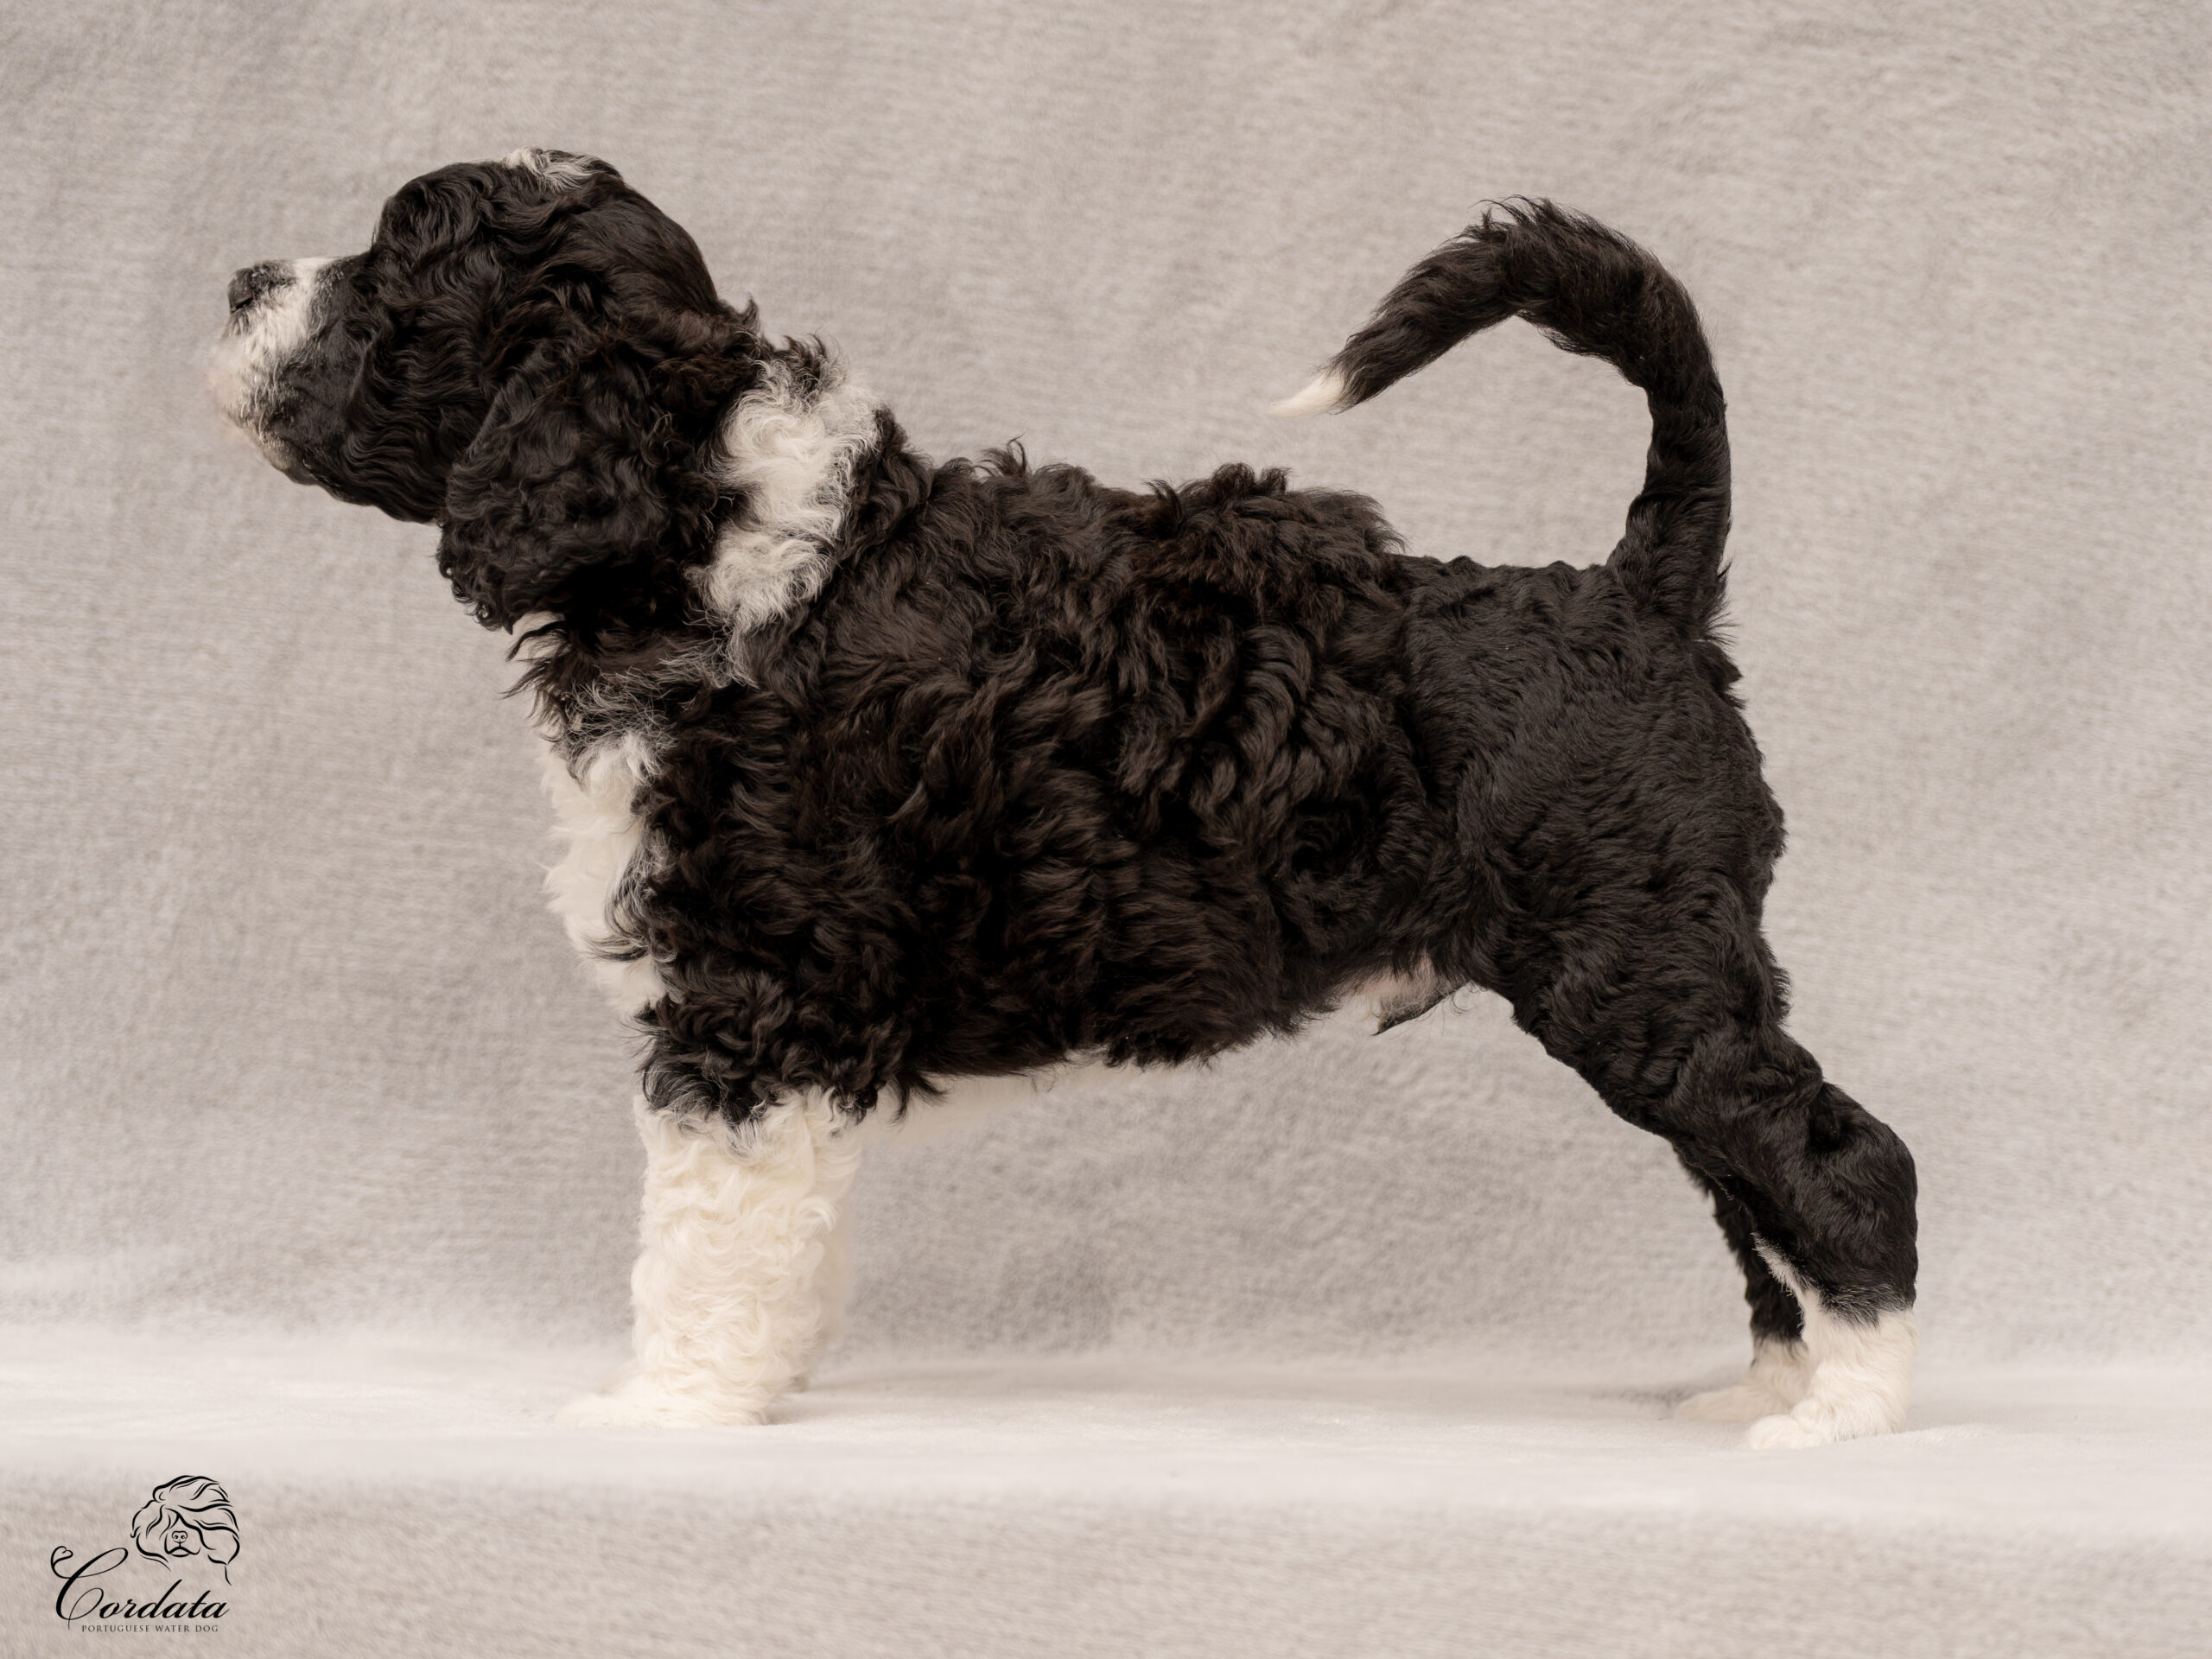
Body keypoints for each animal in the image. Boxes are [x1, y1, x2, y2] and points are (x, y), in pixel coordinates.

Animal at [207, 148, 1917, 1447]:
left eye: (390, 271)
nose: (234, 282)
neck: (712, 526)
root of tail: (1632, 589)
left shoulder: (750, 994)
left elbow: (700, 1236)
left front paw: (668, 1410)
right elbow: (783, 1231)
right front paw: (763, 1378)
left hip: (1634, 966)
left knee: (1834, 1154)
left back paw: (1849, 1415)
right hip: (1665, 966)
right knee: (1745, 1174)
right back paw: (1768, 1391)